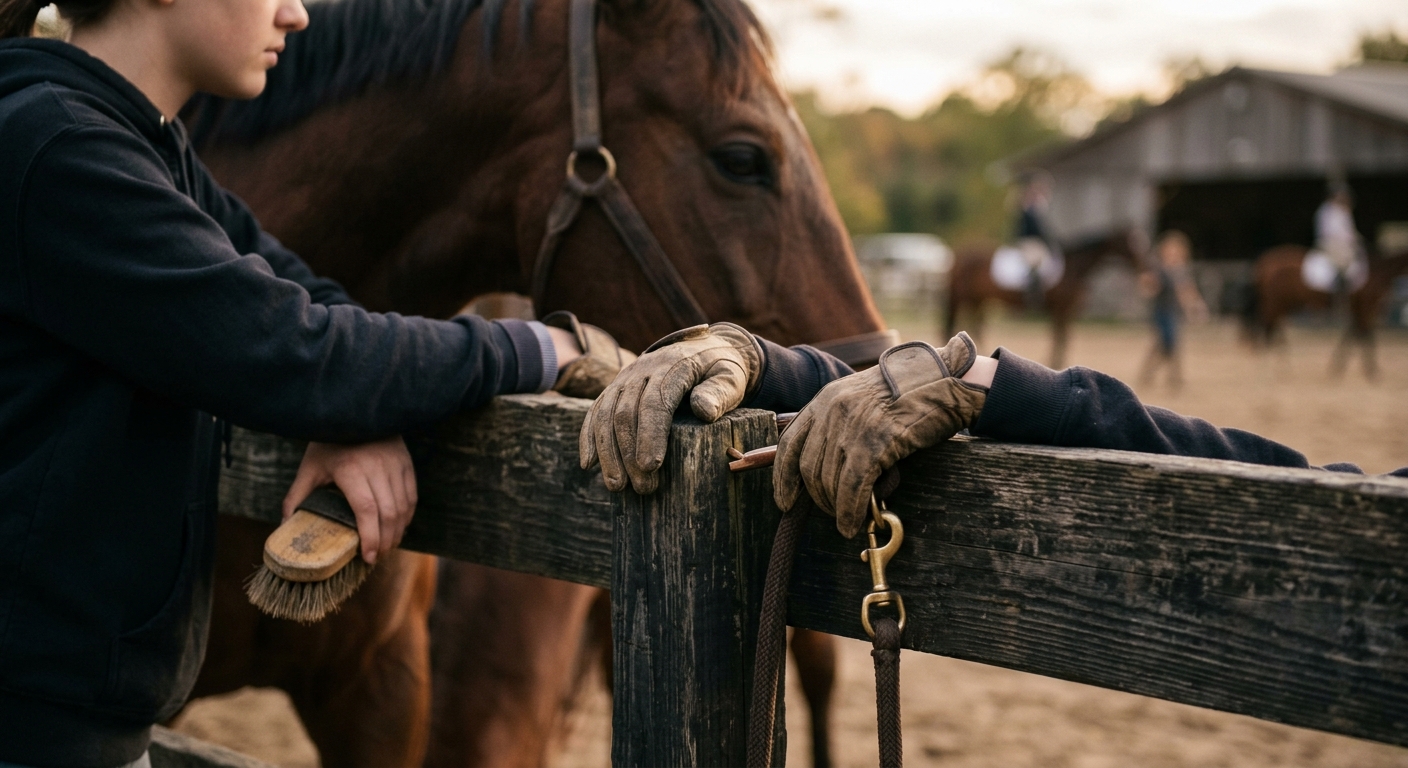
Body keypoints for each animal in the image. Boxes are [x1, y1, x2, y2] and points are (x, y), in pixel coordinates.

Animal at [944, 228, 1147, 368]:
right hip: (964, 297)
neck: (1075, 267)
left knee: (975, 326)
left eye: (1139, 241)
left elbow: (1063, 336)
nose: (1143, 267)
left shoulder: (1067, 310)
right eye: (1130, 242)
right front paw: (1055, 362)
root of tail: (960, 253)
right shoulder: (1061, 308)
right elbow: (1059, 336)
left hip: (978, 300)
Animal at [1244, 245, 1408, 379]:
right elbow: (1364, 334)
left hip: (1280, 307)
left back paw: (1278, 367)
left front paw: (1338, 368)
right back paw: (1269, 368)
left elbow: (1354, 333)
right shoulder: (1366, 306)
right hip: (1276, 306)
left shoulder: (1359, 308)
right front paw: (1371, 371)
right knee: (1268, 330)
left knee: (1271, 330)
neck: (1378, 271)